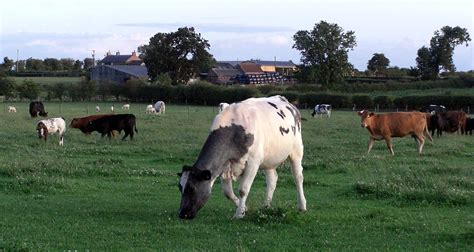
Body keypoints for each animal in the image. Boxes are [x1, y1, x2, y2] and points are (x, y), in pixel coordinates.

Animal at [178, 95, 308, 220]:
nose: (182, 214)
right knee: (272, 179)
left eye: (192, 188)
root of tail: (286, 101)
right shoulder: (225, 164)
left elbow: (243, 189)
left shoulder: (253, 163)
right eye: (180, 187)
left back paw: (302, 206)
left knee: (298, 177)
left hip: (296, 151)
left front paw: (239, 214)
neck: (235, 128)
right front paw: (244, 208)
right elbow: (227, 192)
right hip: (268, 158)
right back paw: (266, 206)